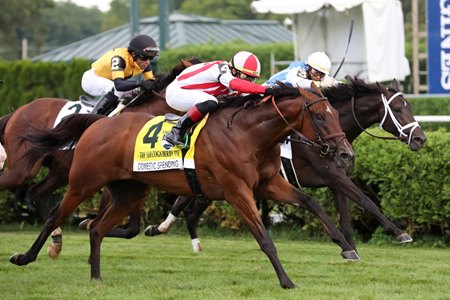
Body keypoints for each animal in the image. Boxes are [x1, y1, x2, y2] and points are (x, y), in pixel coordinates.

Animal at [9, 84, 356, 288]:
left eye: (334, 113)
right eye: (321, 117)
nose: (346, 154)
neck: (249, 133)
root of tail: (100, 123)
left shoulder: (268, 183)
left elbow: (312, 203)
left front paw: (346, 247)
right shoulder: (237, 191)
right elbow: (264, 239)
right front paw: (286, 281)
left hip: (128, 191)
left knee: (97, 228)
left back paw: (95, 276)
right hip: (83, 182)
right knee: (55, 215)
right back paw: (27, 256)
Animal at [146, 76, 428, 252]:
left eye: (410, 106)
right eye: (399, 109)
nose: (420, 139)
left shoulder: (336, 181)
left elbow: (347, 218)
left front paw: (350, 247)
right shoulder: (334, 177)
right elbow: (366, 200)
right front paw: (400, 233)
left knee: (190, 206)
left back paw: (171, 232)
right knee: (185, 204)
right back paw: (160, 228)